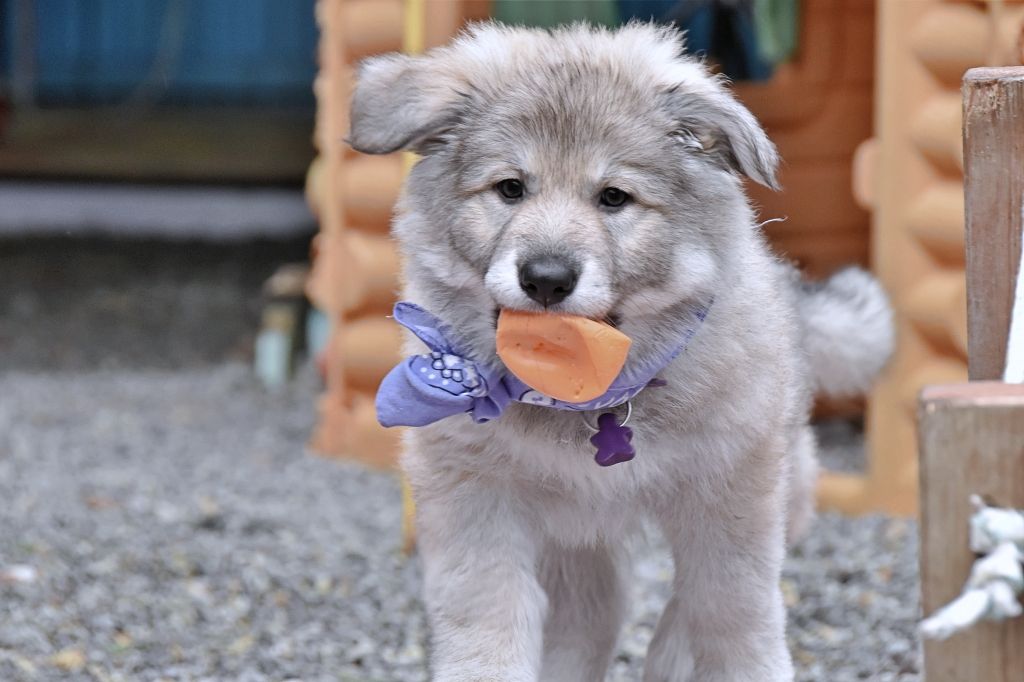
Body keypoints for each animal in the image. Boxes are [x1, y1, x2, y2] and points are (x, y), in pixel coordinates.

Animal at [349, 22, 893, 682]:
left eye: (614, 198)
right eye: (510, 188)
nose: (546, 279)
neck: (591, 402)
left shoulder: (731, 493)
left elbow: (729, 607)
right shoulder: (476, 502)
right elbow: (488, 619)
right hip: (577, 550)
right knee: (588, 623)